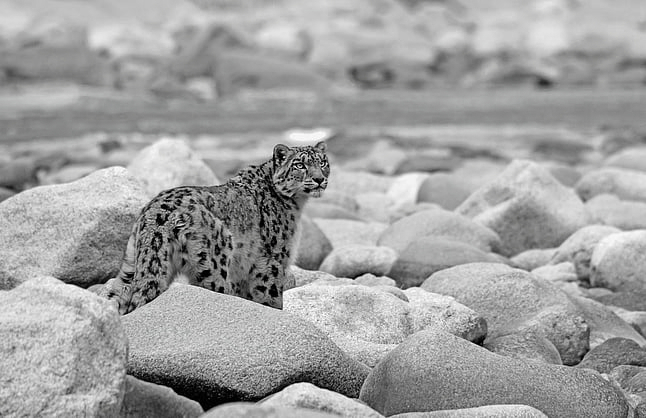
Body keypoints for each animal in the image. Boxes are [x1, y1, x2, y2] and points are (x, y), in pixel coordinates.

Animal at [100, 141, 329, 314]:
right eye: (300, 165)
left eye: (323, 162)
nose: (319, 179)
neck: (297, 205)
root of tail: (155, 214)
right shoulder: (273, 261)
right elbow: (270, 298)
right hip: (214, 262)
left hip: (131, 263)